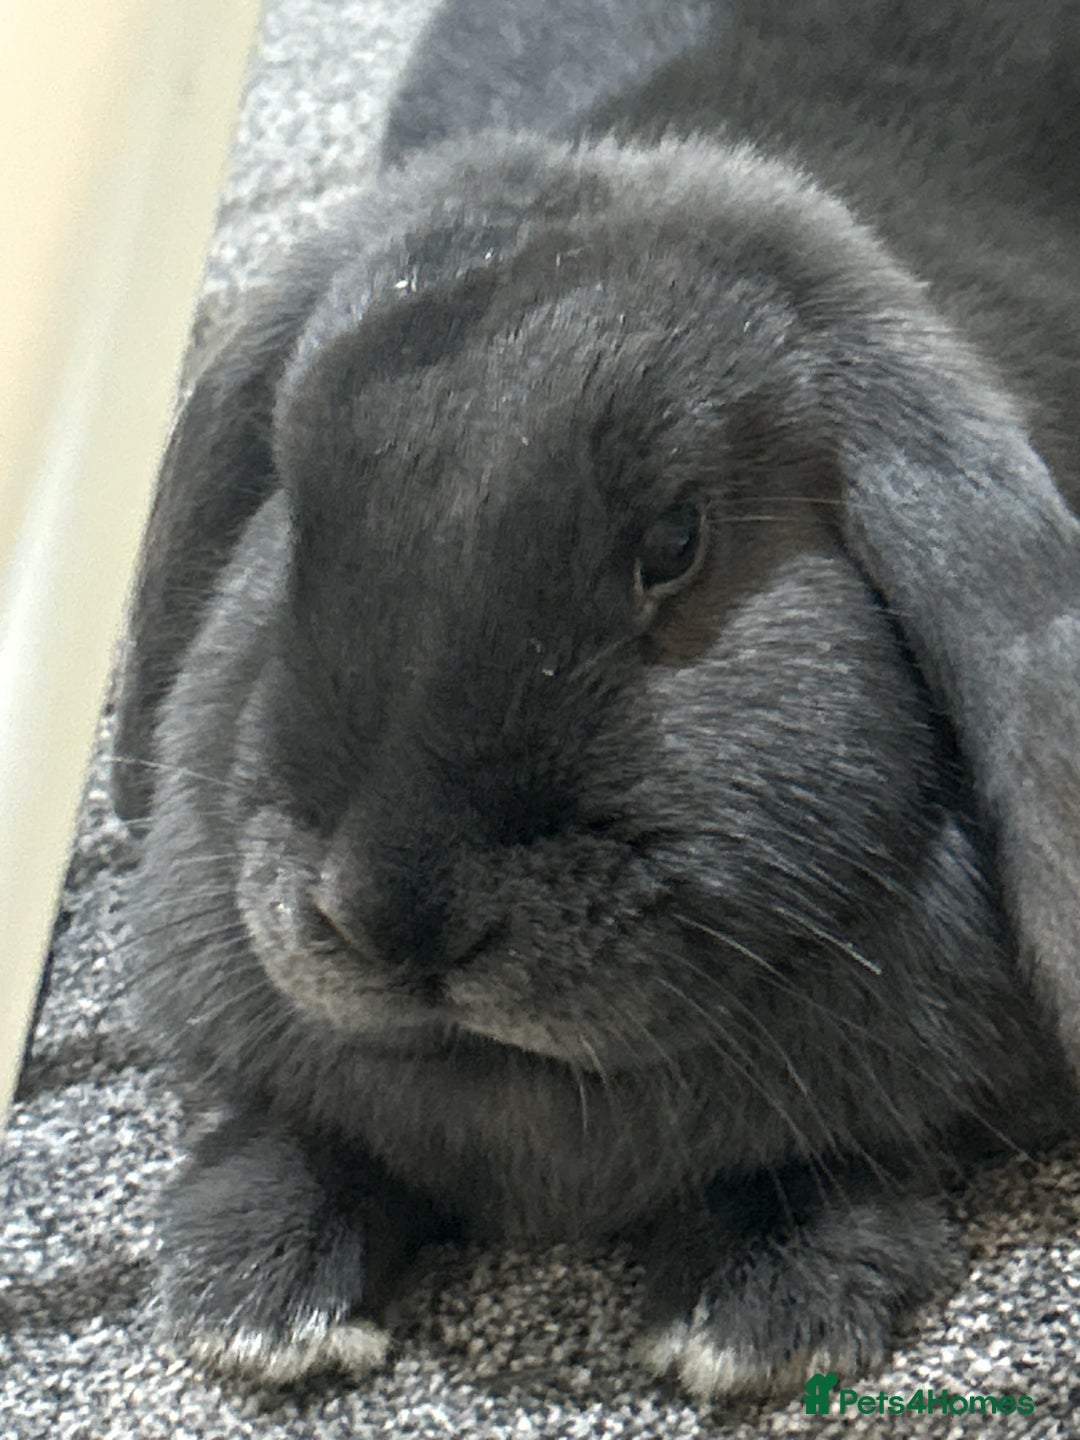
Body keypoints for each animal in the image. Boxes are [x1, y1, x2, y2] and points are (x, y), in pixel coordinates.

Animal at [113, 0, 1080, 1402]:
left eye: (674, 541)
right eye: (291, 508)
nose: (390, 915)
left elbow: (853, 1158)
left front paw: (753, 1321)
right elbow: (284, 1132)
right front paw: (260, 1306)